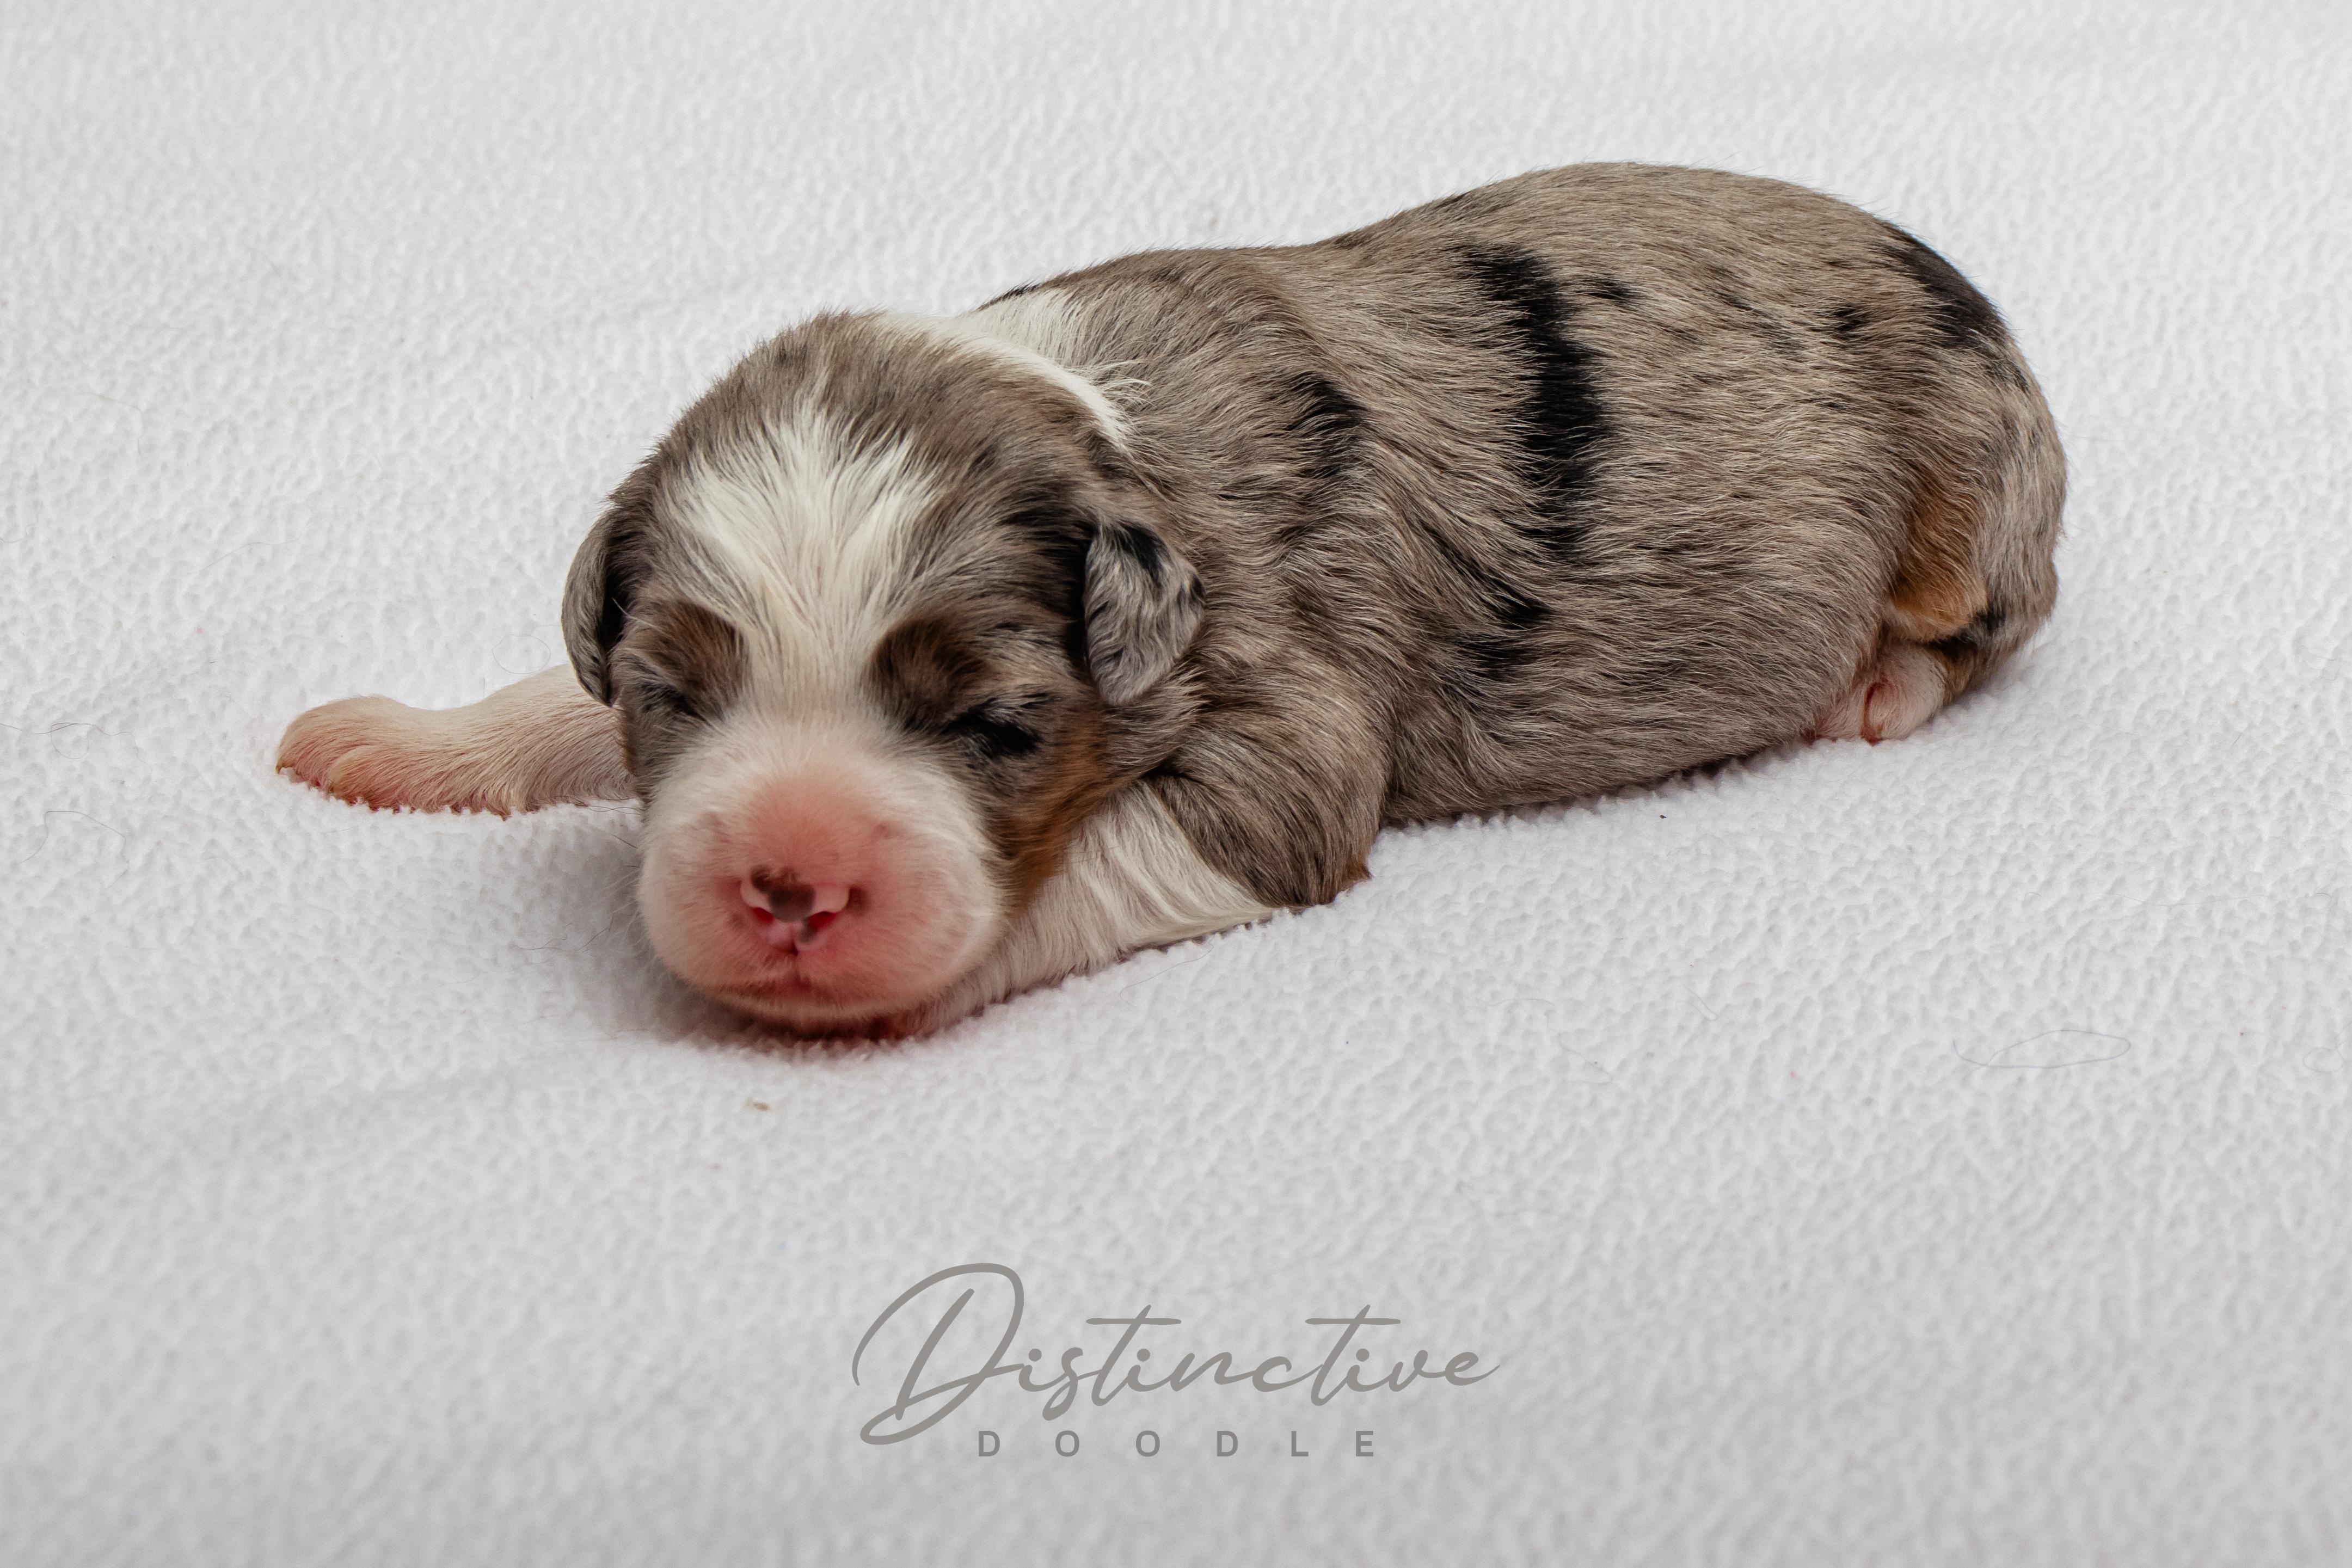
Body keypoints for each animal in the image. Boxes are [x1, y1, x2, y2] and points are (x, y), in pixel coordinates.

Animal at [278, 163, 2064, 1034]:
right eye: (667, 697)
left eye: (1001, 725)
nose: (790, 886)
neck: (1097, 425)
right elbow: (548, 693)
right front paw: (401, 742)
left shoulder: (1292, 727)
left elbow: (1099, 870)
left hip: (1979, 488)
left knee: (1986, 622)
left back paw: (1878, 687)